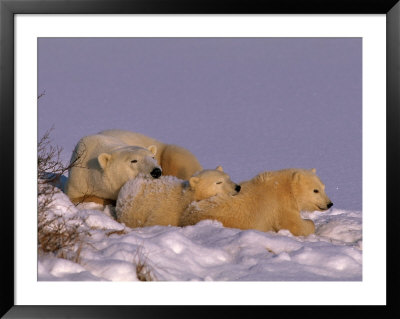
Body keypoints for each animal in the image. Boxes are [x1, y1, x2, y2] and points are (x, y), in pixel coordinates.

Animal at [180, 169, 332, 236]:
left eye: (323, 187)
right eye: (315, 190)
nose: (330, 203)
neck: (285, 185)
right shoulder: (280, 205)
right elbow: (294, 226)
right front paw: (310, 224)